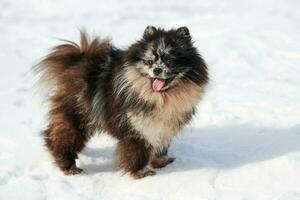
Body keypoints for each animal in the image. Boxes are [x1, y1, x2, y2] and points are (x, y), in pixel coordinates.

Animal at [35, 26, 209, 178]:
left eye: (169, 61)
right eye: (149, 61)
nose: (157, 70)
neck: (160, 98)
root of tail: (79, 59)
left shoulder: (162, 127)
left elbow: (159, 148)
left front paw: (161, 163)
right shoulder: (137, 129)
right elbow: (137, 153)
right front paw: (140, 173)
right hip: (77, 115)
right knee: (61, 138)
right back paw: (68, 166)